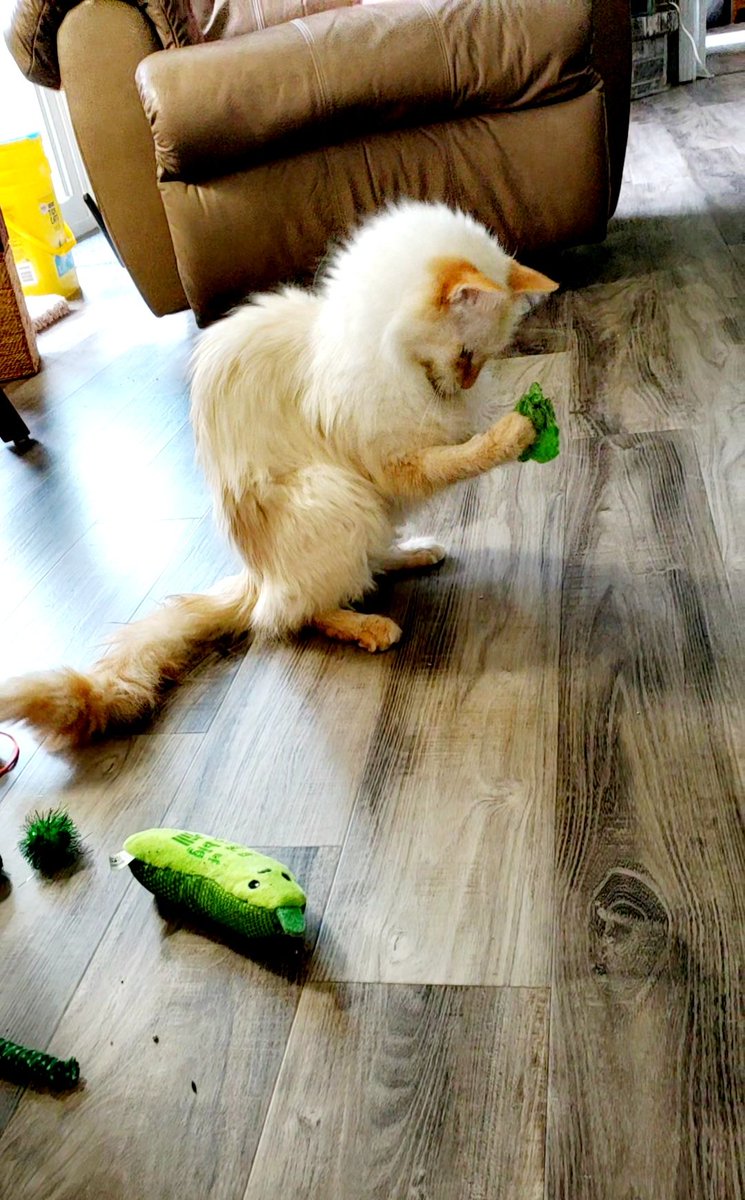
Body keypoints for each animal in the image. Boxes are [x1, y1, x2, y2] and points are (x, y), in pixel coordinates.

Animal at [0, 201, 554, 744]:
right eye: (465, 355)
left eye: (482, 359)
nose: (467, 384)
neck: (377, 345)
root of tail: (258, 578)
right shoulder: (394, 462)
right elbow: (462, 456)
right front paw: (518, 430)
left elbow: (459, 439)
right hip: (337, 493)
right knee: (299, 613)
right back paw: (370, 626)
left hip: (366, 510)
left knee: (365, 564)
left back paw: (416, 552)